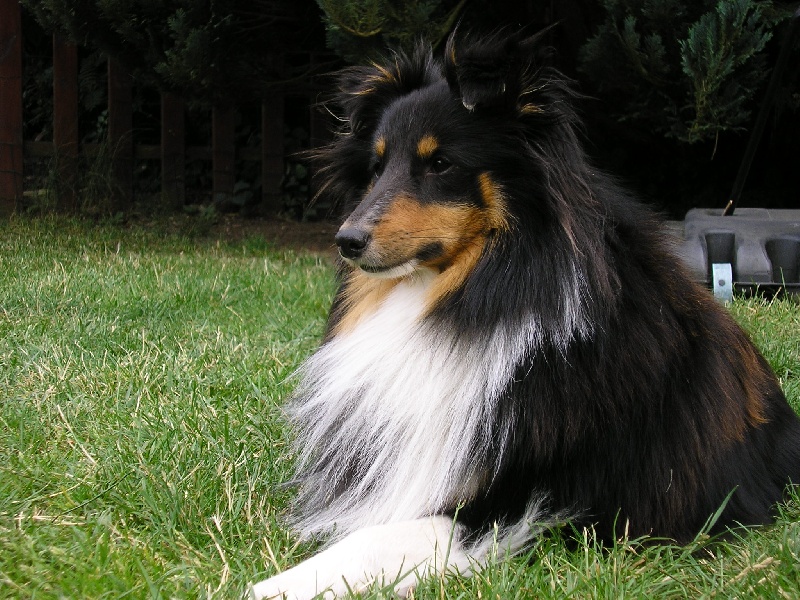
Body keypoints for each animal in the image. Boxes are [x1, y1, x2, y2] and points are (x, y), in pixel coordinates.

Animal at [253, 32, 800, 600]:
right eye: (377, 167)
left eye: (440, 164)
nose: (347, 240)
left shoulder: (542, 508)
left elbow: (383, 537)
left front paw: (279, 584)